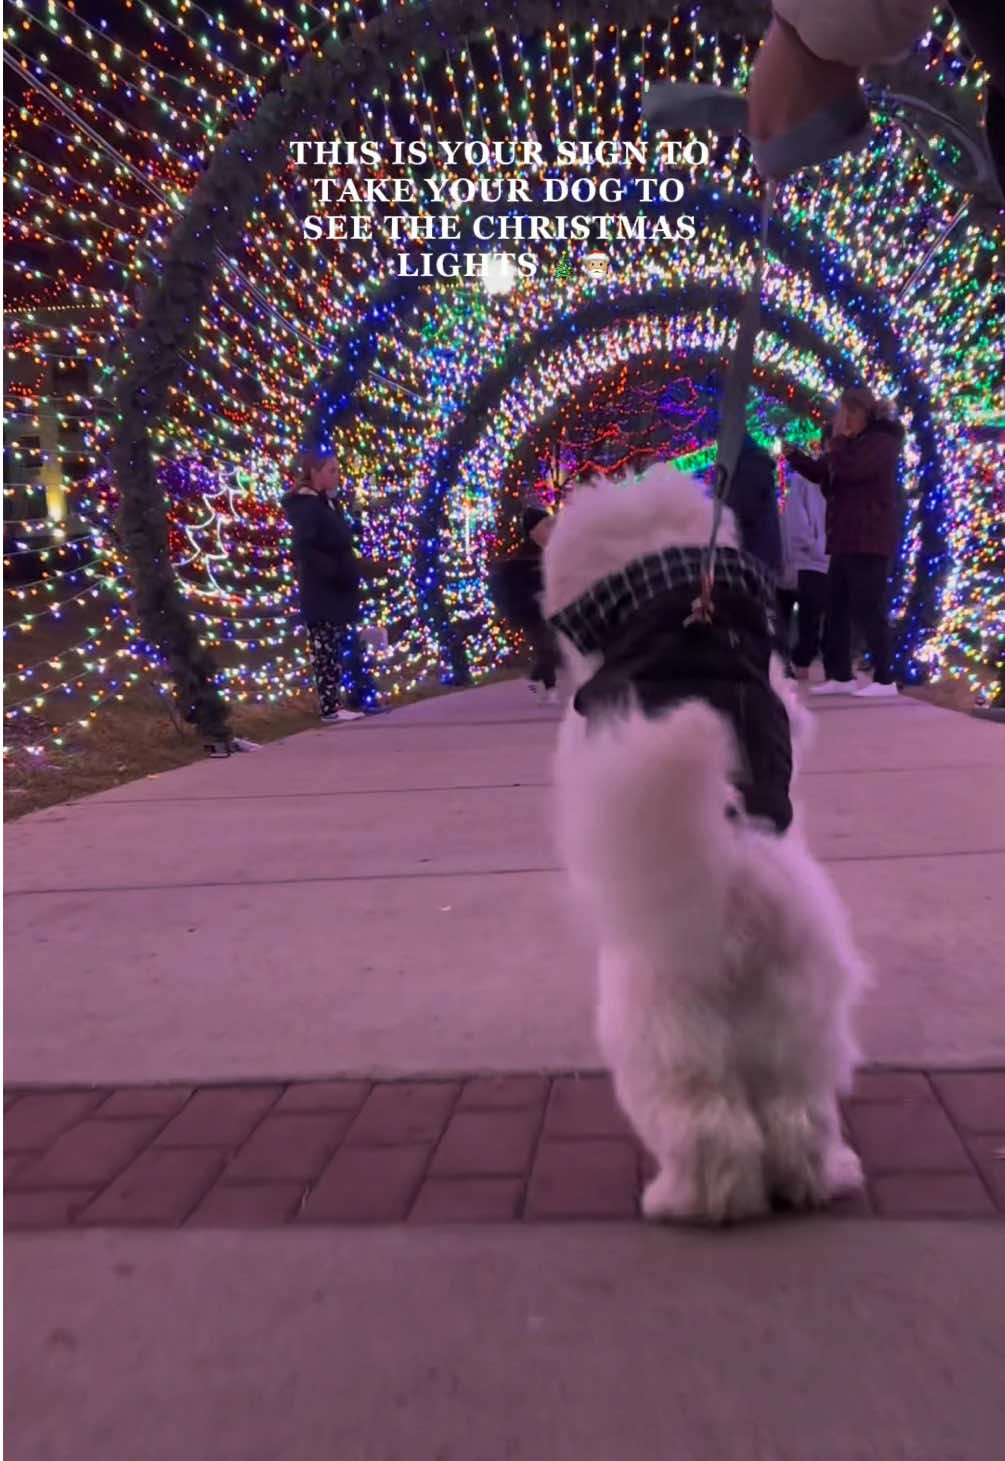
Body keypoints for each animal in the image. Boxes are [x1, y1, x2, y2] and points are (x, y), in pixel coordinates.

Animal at [540, 467, 864, 1221]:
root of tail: (739, 887)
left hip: (662, 1035)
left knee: (706, 1125)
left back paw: (688, 1199)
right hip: (797, 1026)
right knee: (797, 1115)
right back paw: (817, 1179)